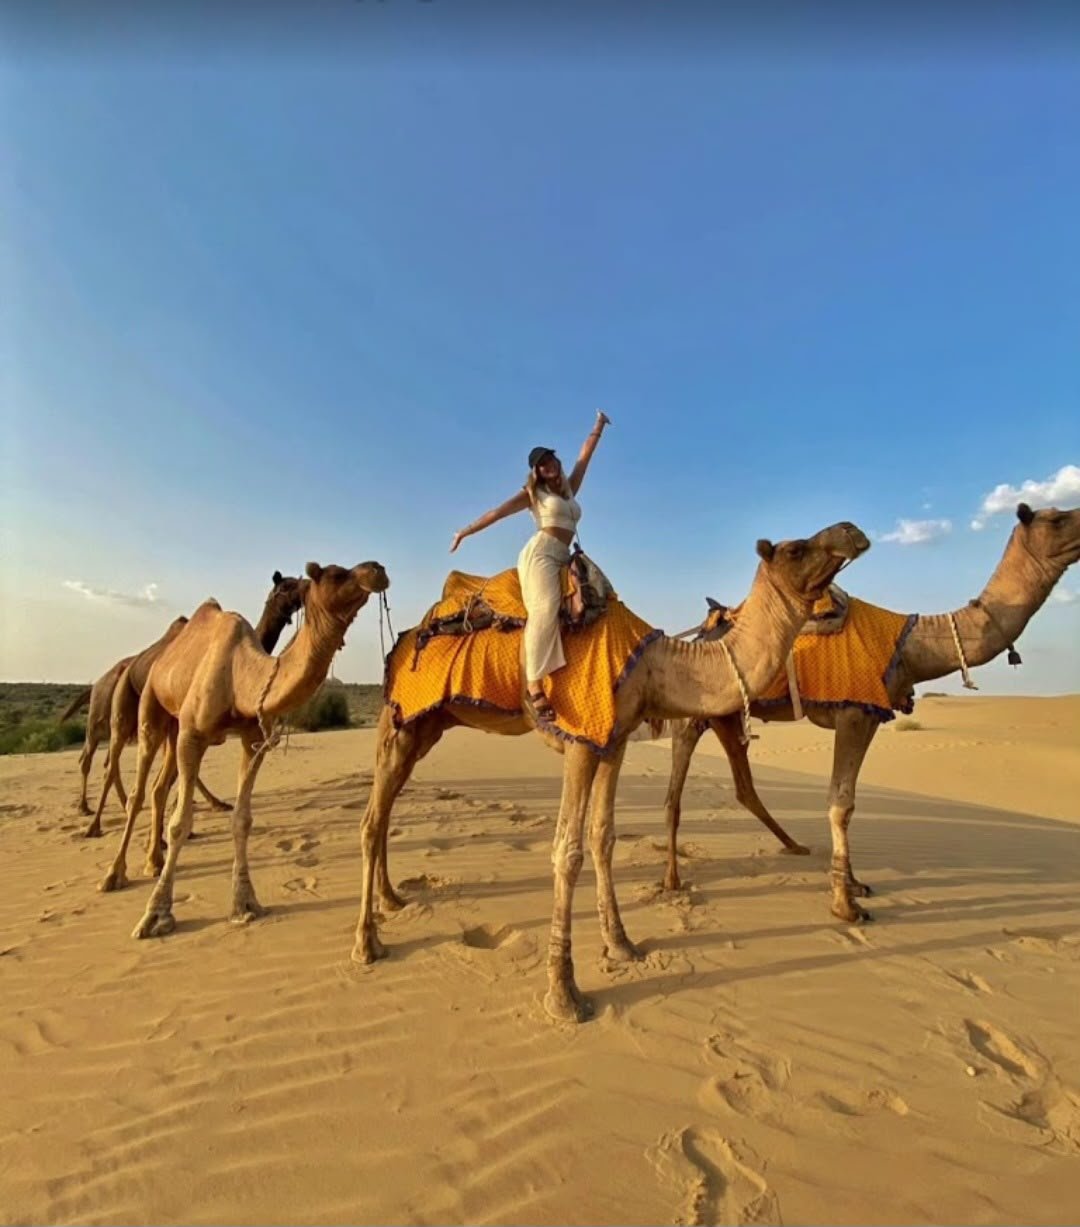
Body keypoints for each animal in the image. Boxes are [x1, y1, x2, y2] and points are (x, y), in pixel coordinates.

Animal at [77, 572, 306, 838]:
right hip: (119, 712)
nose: (306, 586)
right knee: (106, 763)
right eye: (286, 585)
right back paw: (93, 822)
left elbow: (181, 775)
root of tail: (126, 668)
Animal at [100, 561, 389, 940]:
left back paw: (153, 860)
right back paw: (114, 874)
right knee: (138, 791)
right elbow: (180, 823)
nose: (377, 569)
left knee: (159, 788)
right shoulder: (193, 734)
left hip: (174, 729)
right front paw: (156, 914)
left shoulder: (252, 740)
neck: (241, 677)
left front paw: (245, 903)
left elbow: (242, 818)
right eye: (336, 573)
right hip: (152, 707)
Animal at [353, 521, 870, 1023]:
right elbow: (567, 851)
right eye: (796, 549)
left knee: (386, 808)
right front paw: (563, 994)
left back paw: (392, 900)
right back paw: (366, 944)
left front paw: (621, 944)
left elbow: (603, 837)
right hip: (399, 718)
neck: (652, 666)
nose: (852, 530)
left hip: (425, 725)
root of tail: (401, 643)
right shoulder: (582, 741)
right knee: (372, 820)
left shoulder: (613, 743)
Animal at [660, 503, 1080, 924]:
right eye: (1057, 519)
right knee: (674, 796)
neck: (910, 646)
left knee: (744, 787)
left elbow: (849, 798)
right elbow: (840, 803)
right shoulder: (852, 712)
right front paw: (845, 905)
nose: (848, 529)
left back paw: (794, 845)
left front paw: (856, 884)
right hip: (691, 717)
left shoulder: (871, 715)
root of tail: (701, 636)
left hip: (727, 718)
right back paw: (672, 879)